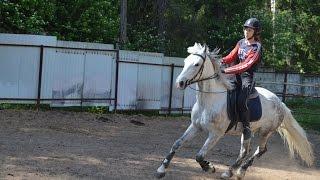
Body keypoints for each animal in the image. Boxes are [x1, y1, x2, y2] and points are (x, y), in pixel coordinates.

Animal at [156, 43, 314, 179]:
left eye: (196, 64)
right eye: (185, 61)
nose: (180, 83)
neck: (209, 100)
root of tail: (280, 103)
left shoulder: (216, 134)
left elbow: (199, 155)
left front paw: (209, 167)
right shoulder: (195, 126)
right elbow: (177, 144)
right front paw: (161, 170)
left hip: (265, 131)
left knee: (260, 150)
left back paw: (236, 171)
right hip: (247, 132)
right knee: (245, 151)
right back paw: (233, 171)